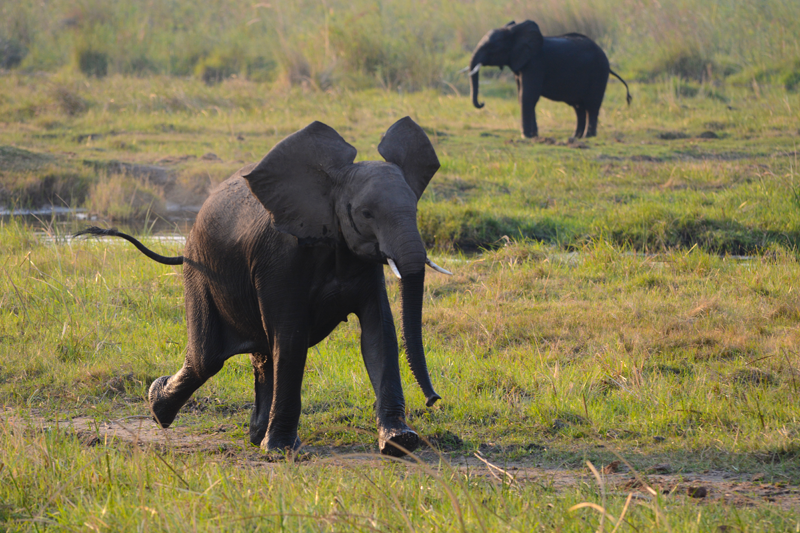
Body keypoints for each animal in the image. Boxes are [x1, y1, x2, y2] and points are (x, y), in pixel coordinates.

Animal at [75, 117, 451, 457]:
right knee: (207, 358)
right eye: (366, 213)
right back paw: (158, 406)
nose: (434, 399)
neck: (330, 185)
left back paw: (255, 435)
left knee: (260, 353)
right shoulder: (282, 260)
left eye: (415, 209)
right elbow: (292, 337)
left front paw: (400, 442)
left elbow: (377, 334)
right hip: (200, 272)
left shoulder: (361, 261)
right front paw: (282, 451)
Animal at [467, 20, 631, 139]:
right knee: (579, 107)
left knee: (592, 105)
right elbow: (523, 96)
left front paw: (526, 137)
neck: (515, 32)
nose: (482, 103)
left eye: (492, 48)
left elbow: (527, 96)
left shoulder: (535, 64)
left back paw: (588, 137)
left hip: (599, 74)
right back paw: (575, 137)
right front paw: (533, 136)